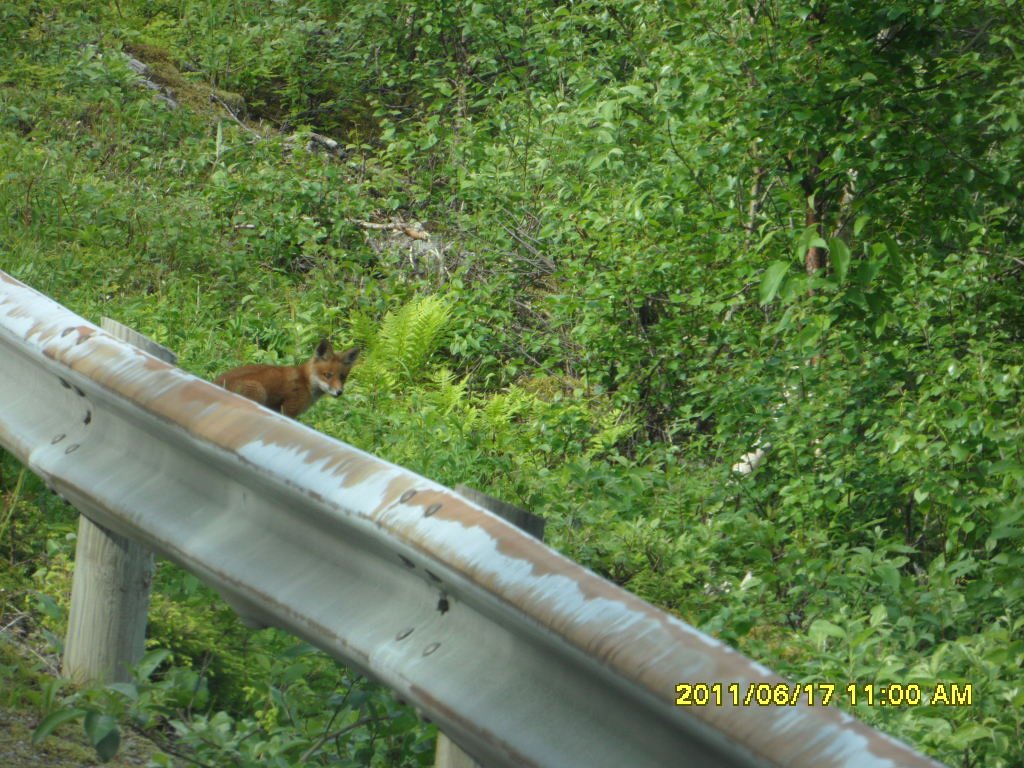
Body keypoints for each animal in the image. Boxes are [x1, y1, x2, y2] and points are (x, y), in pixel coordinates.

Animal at [215, 337, 360, 417]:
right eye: (327, 375)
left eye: (342, 377)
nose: (339, 392)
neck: (306, 382)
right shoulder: (289, 410)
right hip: (259, 391)